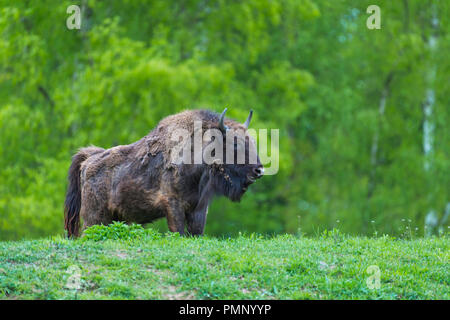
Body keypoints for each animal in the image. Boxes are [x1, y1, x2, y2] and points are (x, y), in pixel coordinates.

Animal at [65, 109, 266, 236]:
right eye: (235, 143)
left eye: (252, 141)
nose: (259, 169)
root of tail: (88, 161)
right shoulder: (173, 205)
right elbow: (178, 231)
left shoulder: (200, 208)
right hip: (95, 217)